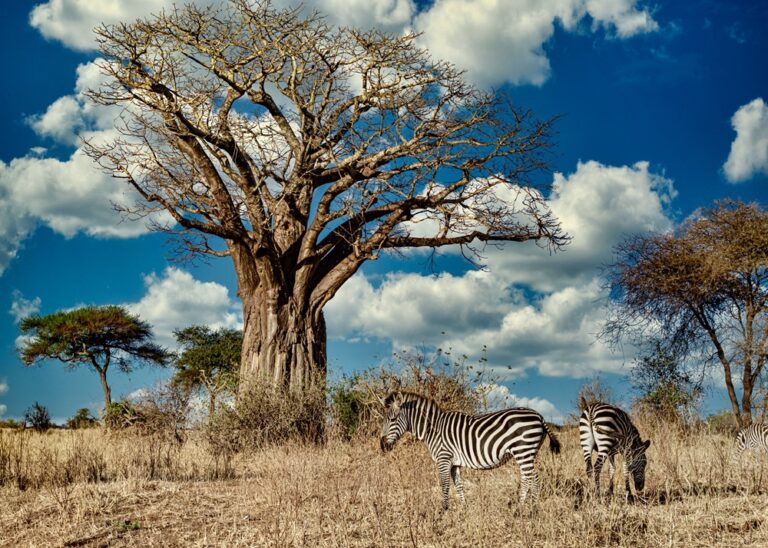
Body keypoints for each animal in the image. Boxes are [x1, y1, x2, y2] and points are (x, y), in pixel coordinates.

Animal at [379, 391, 561, 510]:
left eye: (393, 419)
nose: (382, 446)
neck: (434, 429)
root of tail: (539, 416)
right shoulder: (454, 463)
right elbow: (458, 485)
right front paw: (464, 507)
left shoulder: (443, 458)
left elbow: (444, 484)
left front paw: (443, 510)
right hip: (527, 453)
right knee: (530, 479)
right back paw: (529, 507)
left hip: (523, 451)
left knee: (531, 479)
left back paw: (525, 509)